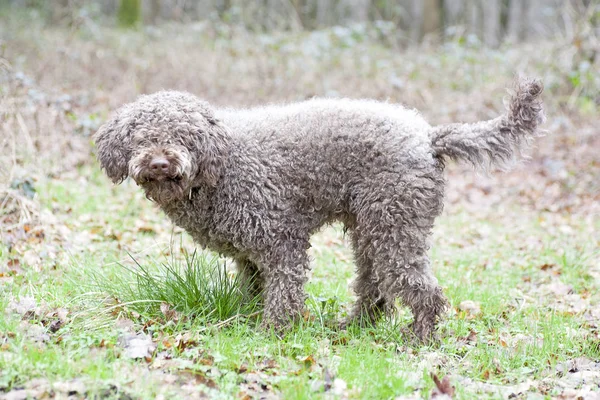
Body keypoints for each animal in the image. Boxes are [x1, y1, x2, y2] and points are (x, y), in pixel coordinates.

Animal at [95, 79, 544, 342]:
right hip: (370, 228)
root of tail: (428, 136)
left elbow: (283, 295)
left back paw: (419, 337)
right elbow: (255, 290)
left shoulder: (281, 242)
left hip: (395, 226)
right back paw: (356, 327)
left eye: (184, 135)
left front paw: (272, 335)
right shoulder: (251, 256)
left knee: (422, 289)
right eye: (139, 136)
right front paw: (247, 319)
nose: (159, 163)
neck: (220, 166)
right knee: (373, 286)